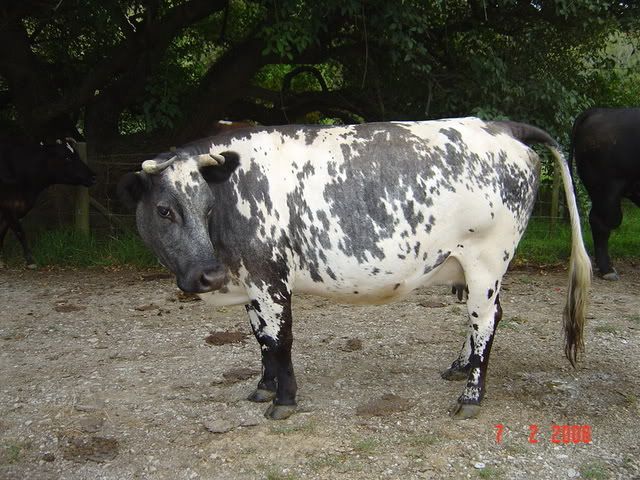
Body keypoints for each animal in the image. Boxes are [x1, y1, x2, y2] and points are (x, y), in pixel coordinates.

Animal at [0, 138, 96, 268]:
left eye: (78, 156)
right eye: (67, 158)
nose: (93, 177)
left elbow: (2, 233)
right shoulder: (7, 206)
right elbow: (20, 232)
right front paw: (30, 261)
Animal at [118, 118, 591, 420]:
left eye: (207, 207)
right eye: (164, 210)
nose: (208, 276)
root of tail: (500, 126)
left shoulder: (270, 279)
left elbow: (279, 340)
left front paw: (283, 400)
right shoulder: (251, 282)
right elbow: (261, 340)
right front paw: (264, 387)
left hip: (486, 260)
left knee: (486, 321)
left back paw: (470, 397)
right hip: (477, 267)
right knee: (487, 318)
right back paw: (459, 367)